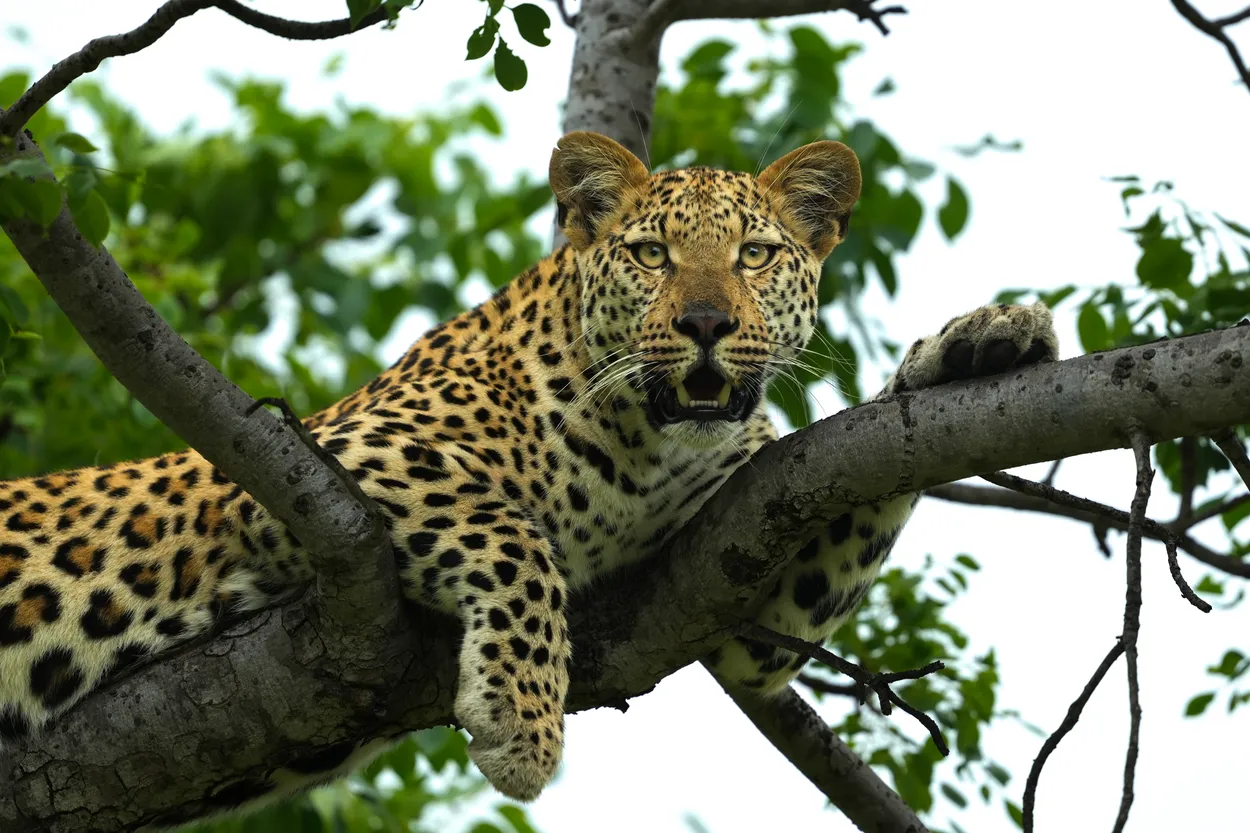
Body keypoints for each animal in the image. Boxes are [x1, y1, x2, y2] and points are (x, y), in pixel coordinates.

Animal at [0, 131, 1058, 813]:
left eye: (756, 255)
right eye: (651, 252)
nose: (706, 323)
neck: (646, 445)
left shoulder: (748, 580)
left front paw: (976, 344)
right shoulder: (313, 460)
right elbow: (512, 537)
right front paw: (522, 720)